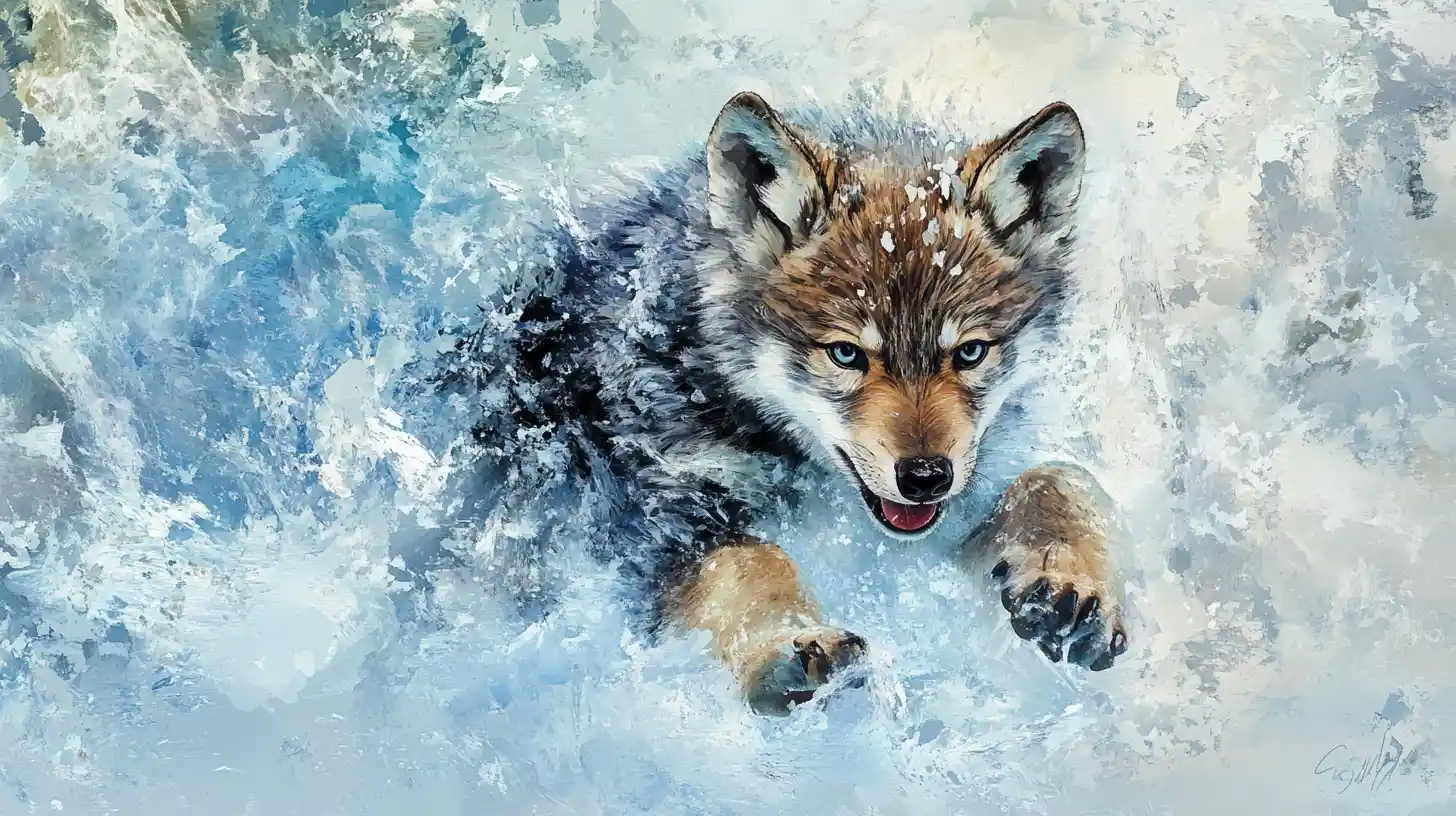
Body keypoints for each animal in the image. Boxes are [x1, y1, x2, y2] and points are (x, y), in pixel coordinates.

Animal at [434, 90, 1129, 715]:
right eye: (845, 355)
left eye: (970, 353)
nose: (926, 477)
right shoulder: (664, 518)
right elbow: (753, 563)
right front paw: (787, 648)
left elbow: (1062, 479)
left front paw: (1068, 586)